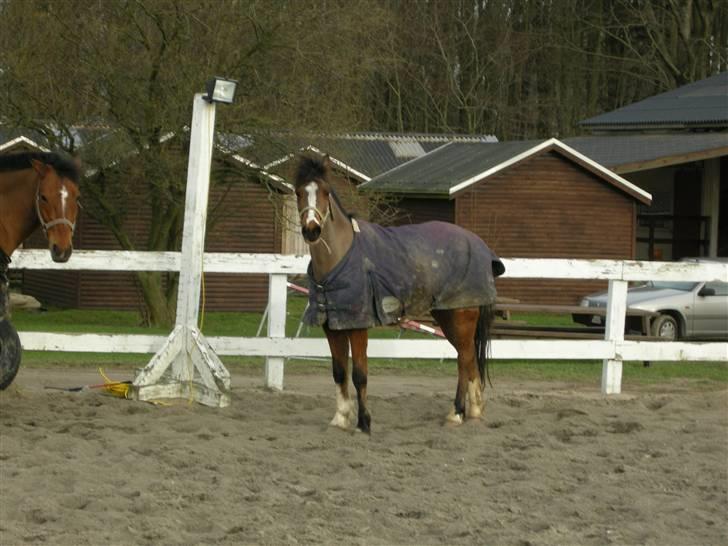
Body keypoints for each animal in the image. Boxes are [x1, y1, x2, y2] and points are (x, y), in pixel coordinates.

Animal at [294, 156, 505, 433]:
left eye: (325, 192)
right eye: (298, 192)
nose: (312, 230)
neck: (340, 259)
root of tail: (479, 244)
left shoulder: (357, 326)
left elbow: (359, 374)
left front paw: (364, 423)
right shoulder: (332, 326)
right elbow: (339, 371)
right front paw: (340, 419)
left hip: (462, 317)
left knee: (464, 359)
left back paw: (456, 414)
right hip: (448, 318)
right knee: (468, 358)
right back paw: (474, 413)